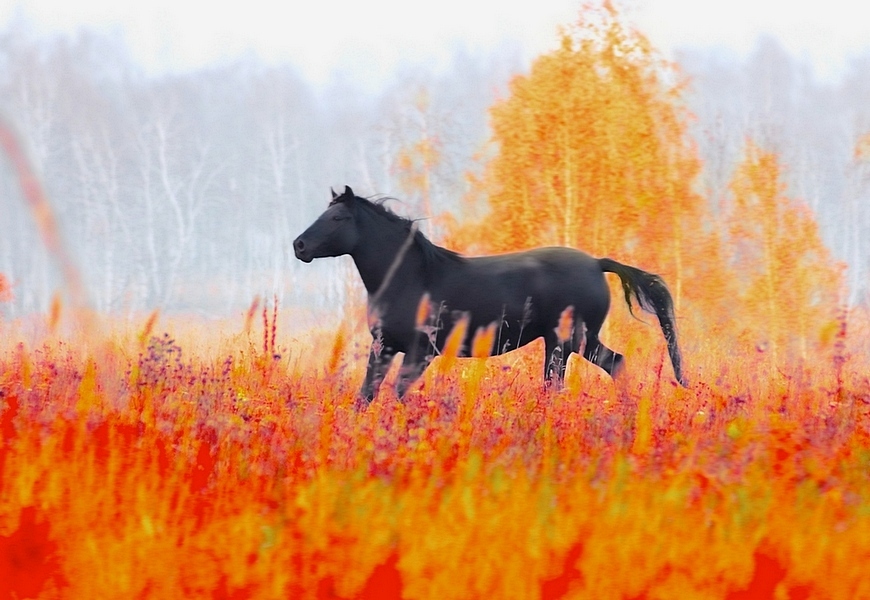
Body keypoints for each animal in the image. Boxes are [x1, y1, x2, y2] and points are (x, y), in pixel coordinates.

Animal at [294, 186, 688, 404]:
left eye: (338, 218)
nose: (299, 246)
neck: (410, 278)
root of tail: (596, 262)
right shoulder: (384, 347)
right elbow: (367, 395)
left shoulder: (420, 351)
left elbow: (398, 394)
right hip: (569, 342)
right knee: (605, 366)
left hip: (569, 340)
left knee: (583, 375)